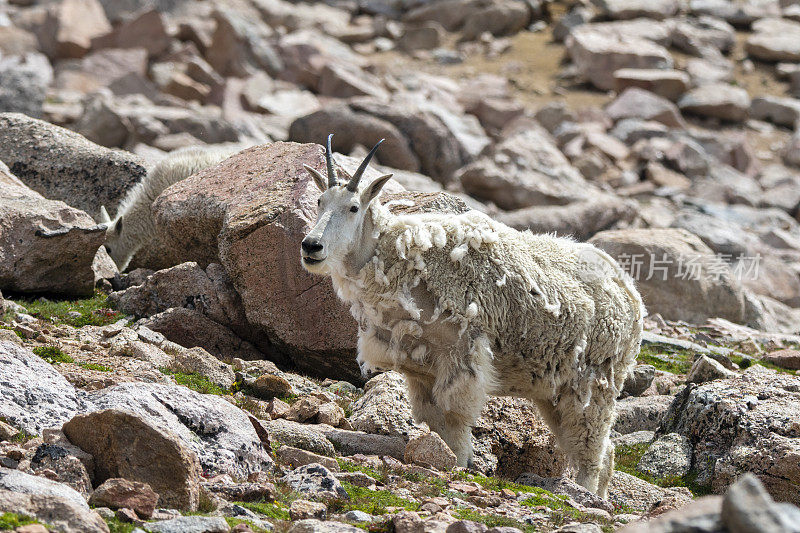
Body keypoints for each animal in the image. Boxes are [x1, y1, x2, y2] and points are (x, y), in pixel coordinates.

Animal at [300, 135, 644, 496]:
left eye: (354, 207)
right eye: (320, 201)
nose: (311, 247)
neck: (399, 262)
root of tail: (631, 294)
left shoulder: (462, 353)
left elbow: (455, 418)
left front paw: (461, 465)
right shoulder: (420, 369)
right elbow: (432, 419)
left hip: (595, 381)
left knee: (591, 446)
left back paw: (585, 494)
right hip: (554, 389)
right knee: (600, 449)